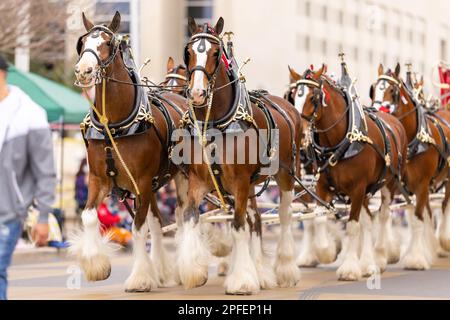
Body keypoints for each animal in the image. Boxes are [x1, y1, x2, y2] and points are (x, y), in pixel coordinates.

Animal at [70, 11, 188, 292]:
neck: (115, 125)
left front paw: (140, 277)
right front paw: (96, 265)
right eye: (83, 42)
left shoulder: (141, 182)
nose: (83, 70)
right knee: (160, 222)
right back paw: (163, 270)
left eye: (107, 43)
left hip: (182, 178)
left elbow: (138, 229)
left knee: (184, 216)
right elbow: (88, 216)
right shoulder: (97, 179)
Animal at [176, 16, 302, 294]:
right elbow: (190, 217)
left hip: (286, 175)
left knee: (284, 216)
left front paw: (242, 280)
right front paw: (193, 270)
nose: (197, 94)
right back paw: (262, 273)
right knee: (255, 220)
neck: (216, 123)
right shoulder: (199, 182)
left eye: (215, 53)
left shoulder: (240, 183)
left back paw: (285, 269)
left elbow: (237, 225)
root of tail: (287, 107)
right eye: (188, 52)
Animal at [286, 63, 410, 278]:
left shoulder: (358, 188)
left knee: (383, 215)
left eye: (314, 97)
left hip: (389, 184)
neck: (339, 143)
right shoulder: (322, 187)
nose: (300, 134)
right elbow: (320, 219)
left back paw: (380, 257)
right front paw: (328, 251)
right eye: (293, 96)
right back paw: (367, 262)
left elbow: (352, 226)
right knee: (367, 220)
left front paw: (350, 268)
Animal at [370, 63, 448, 268]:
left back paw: (443, 242)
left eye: (393, 91)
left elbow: (417, 218)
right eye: (373, 89)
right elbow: (391, 213)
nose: (376, 111)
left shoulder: (421, 184)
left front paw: (415, 259)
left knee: (444, 205)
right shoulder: (395, 184)